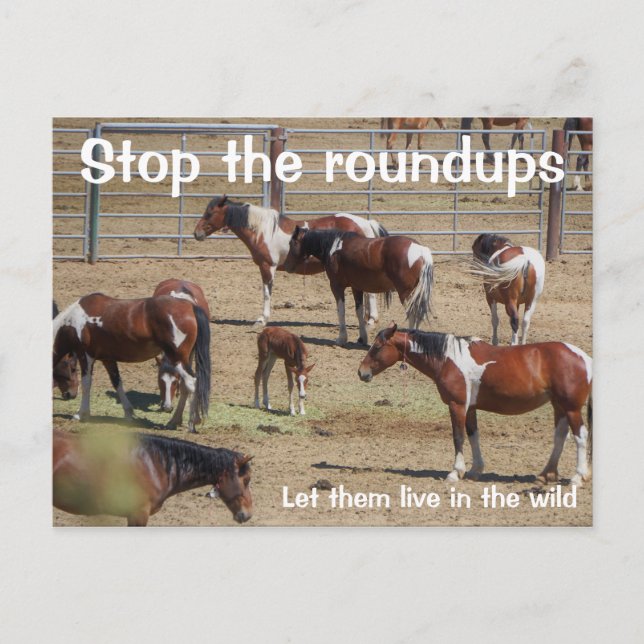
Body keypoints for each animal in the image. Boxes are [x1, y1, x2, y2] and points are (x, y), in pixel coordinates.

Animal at [53, 293, 211, 432]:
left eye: (73, 368)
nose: (70, 394)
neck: (73, 320)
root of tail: (189, 306)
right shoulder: (108, 359)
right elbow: (117, 383)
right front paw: (129, 413)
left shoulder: (85, 356)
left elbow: (86, 384)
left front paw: (81, 414)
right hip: (185, 358)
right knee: (185, 386)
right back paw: (175, 421)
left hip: (177, 358)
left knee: (191, 382)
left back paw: (192, 423)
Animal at [193, 195, 388, 327]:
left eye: (210, 213)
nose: (196, 233)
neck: (262, 230)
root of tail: (365, 223)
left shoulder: (267, 267)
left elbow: (266, 293)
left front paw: (262, 319)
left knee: (370, 293)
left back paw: (371, 320)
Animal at [283, 228, 434, 346]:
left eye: (292, 242)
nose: (286, 266)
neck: (335, 247)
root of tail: (421, 251)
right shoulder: (357, 288)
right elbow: (359, 312)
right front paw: (362, 338)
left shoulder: (336, 286)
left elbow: (341, 311)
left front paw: (341, 339)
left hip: (406, 294)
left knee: (413, 314)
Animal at [358, 323, 592, 486]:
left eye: (376, 347)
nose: (362, 372)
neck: (448, 358)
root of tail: (585, 358)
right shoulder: (470, 408)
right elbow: (473, 436)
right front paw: (474, 470)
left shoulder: (457, 405)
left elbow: (458, 437)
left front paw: (455, 472)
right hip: (559, 406)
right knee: (560, 436)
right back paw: (546, 475)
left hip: (571, 408)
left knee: (580, 436)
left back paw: (578, 477)